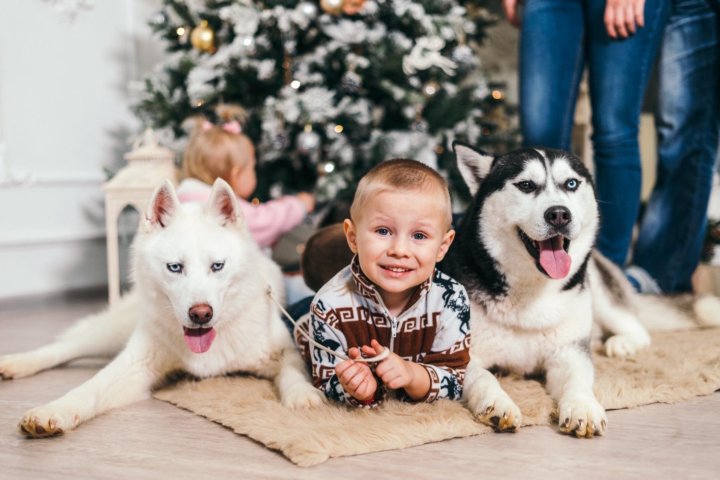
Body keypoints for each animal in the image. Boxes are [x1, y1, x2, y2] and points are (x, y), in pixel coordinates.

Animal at [0, 178, 322, 436]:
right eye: (175, 267)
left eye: (217, 266)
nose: (201, 314)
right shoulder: (135, 364)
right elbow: (91, 387)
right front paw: (56, 410)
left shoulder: (286, 349)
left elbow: (294, 369)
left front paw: (302, 395)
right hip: (114, 332)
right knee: (65, 347)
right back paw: (18, 362)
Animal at [444, 141, 720, 436]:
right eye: (526, 185)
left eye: (571, 184)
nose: (559, 214)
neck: (532, 293)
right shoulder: (463, 357)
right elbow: (483, 377)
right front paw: (497, 403)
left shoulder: (569, 353)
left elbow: (577, 381)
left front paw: (582, 407)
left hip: (595, 287)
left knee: (637, 328)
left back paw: (621, 343)